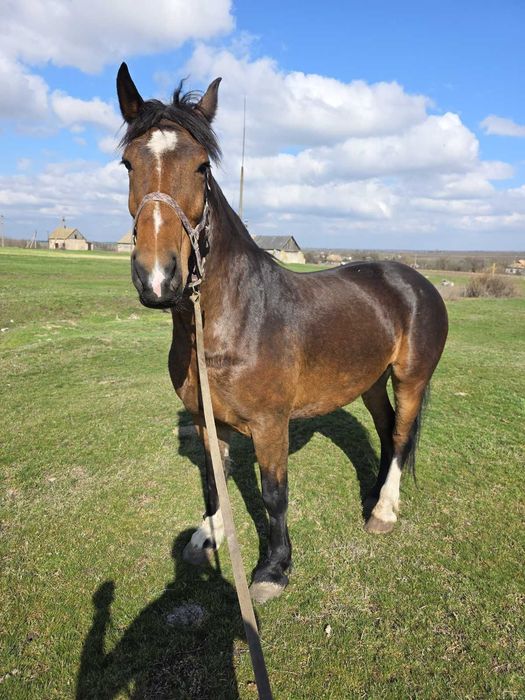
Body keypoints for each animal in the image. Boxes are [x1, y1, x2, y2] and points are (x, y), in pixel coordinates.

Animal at [116, 63, 448, 604]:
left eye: (202, 167)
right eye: (127, 163)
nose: (158, 278)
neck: (232, 322)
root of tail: (414, 280)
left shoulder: (271, 424)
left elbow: (274, 494)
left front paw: (274, 568)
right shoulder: (207, 419)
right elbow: (215, 479)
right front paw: (209, 535)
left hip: (410, 378)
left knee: (401, 435)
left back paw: (383, 509)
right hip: (369, 380)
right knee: (385, 429)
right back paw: (374, 492)